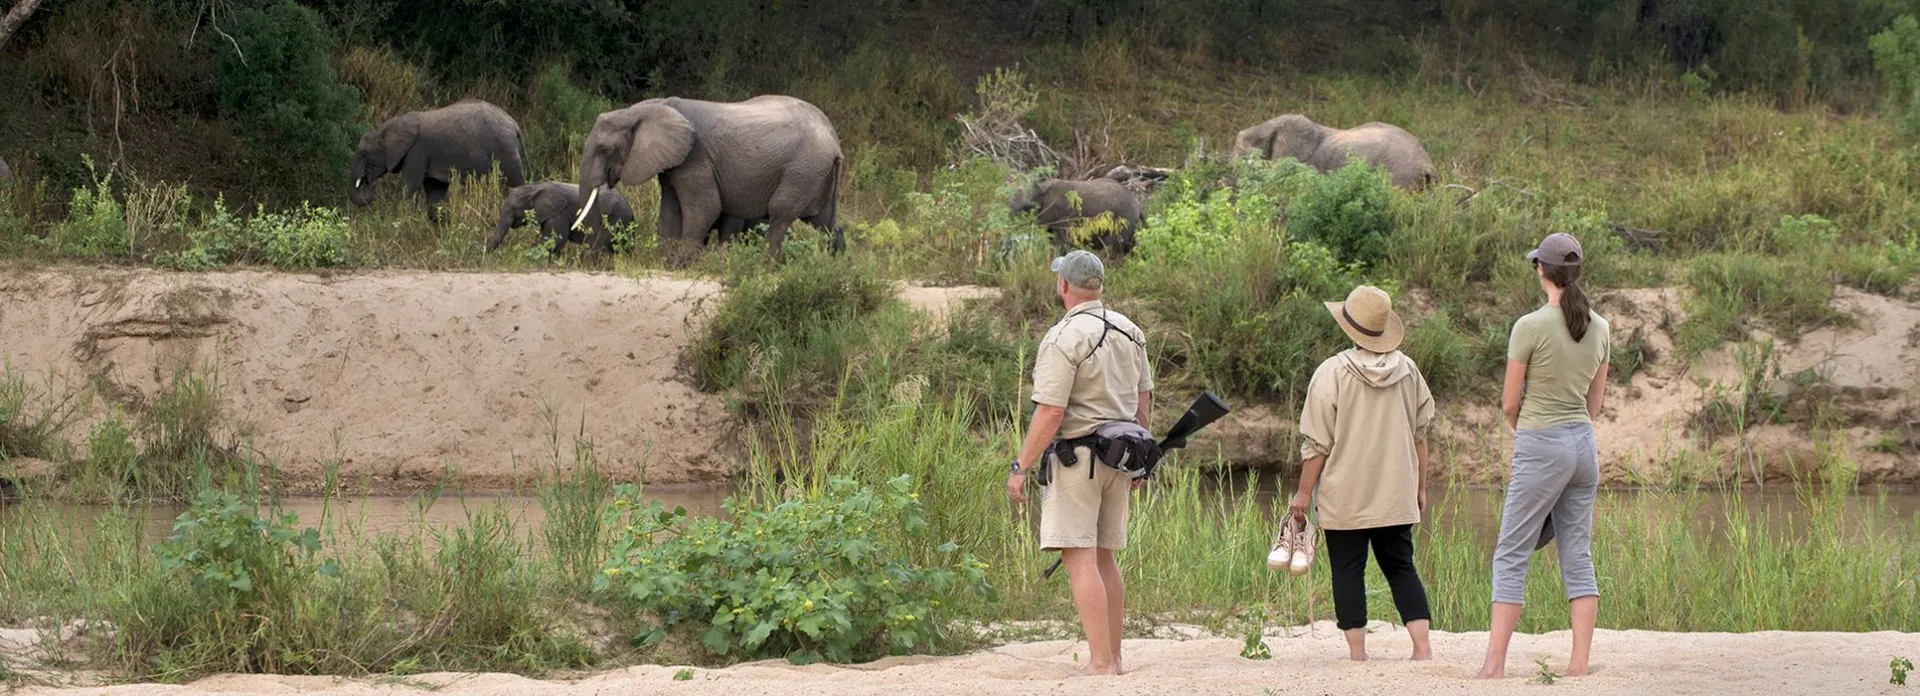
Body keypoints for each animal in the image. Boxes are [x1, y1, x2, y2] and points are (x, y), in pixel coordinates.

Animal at [350, 99, 527, 221]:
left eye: (364, 154)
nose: (365, 181)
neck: (385, 128)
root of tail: (514, 125)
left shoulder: (417, 151)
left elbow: (410, 186)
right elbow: (434, 188)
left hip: (505, 150)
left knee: (514, 183)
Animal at [487, 182, 636, 254]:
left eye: (514, 209)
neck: (535, 188)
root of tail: (630, 210)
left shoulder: (560, 213)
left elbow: (555, 240)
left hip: (615, 218)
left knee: (600, 246)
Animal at [573, 95, 843, 260]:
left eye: (603, 149)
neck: (645, 108)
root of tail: (834, 140)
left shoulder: (695, 158)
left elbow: (704, 208)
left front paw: (682, 263)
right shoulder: (673, 165)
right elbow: (670, 212)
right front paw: (666, 261)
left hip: (803, 169)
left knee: (780, 213)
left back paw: (764, 267)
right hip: (815, 172)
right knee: (824, 222)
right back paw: (835, 264)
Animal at [1010, 177, 1141, 257]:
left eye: (1028, 207)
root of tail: (1137, 204)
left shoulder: (1062, 218)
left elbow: (1061, 243)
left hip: (1124, 219)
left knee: (1115, 246)